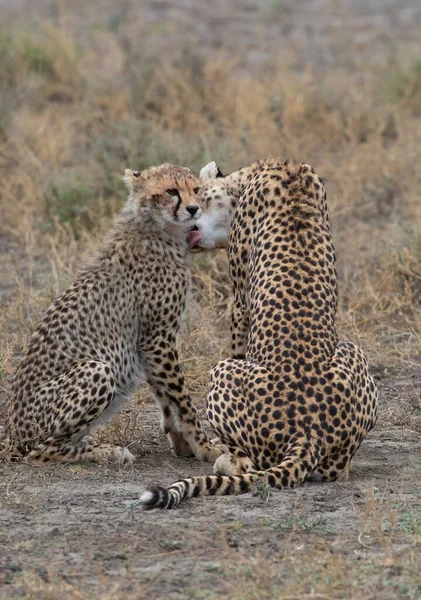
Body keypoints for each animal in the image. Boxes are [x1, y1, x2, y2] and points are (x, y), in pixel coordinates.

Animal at [3, 163, 221, 464]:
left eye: (196, 189)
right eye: (171, 191)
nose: (193, 209)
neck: (157, 227)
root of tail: (12, 433)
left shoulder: (148, 343)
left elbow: (165, 396)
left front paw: (183, 444)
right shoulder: (158, 337)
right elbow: (181, 398)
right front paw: (205, 446)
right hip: (97, 370)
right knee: (41, 452)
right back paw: (107, 451)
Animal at [139, 158, 378, 506]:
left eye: (197, 194)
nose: (188, 219)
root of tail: (307, 433)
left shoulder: (240, 304)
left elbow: (238, 342)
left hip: (222, 371)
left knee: (249, 464)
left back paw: (224, 459)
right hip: (352, 351)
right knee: (338, 471)